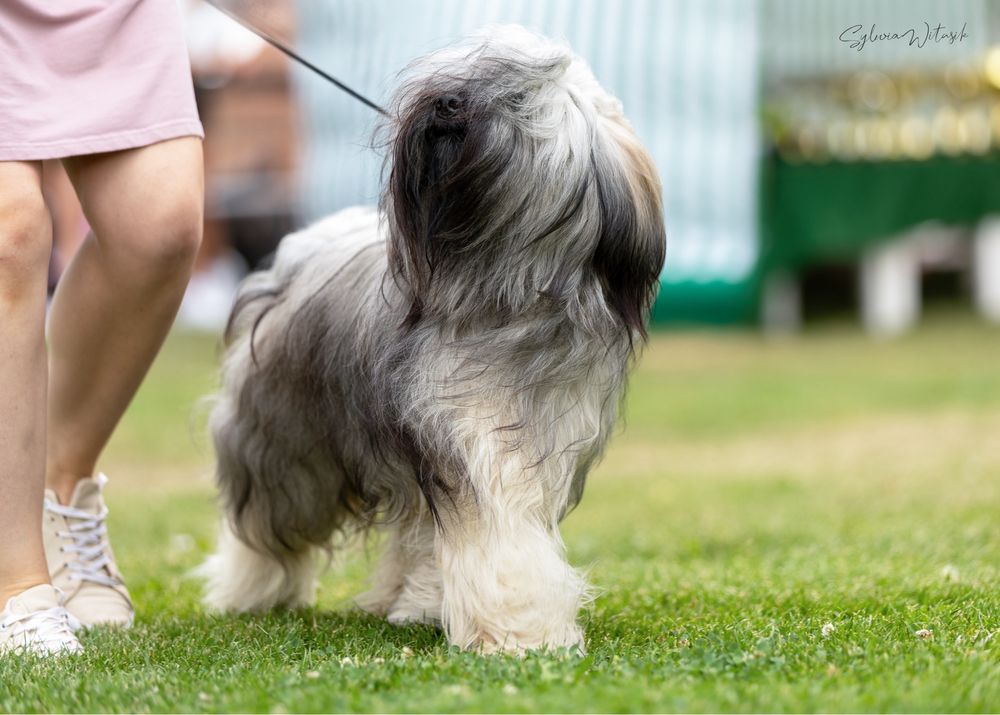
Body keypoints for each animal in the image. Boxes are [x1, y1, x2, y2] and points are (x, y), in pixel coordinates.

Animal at [197, 23, 664, 656]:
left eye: (518, 96)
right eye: (462, 75)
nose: (445, 101)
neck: (503, 292)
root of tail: (300, 250)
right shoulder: (472, 436)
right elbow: (499, 539)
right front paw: (519, 631)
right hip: (285, 440)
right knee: (267, 524)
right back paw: (251, 592)